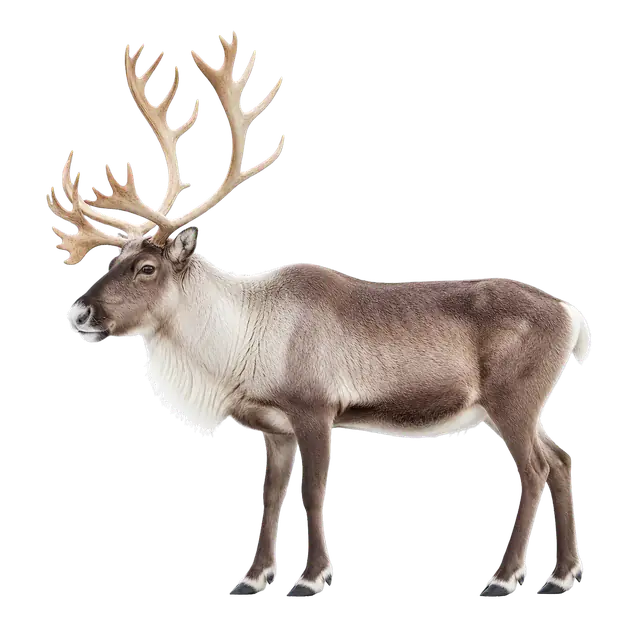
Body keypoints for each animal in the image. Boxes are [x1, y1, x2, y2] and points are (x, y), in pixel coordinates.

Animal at [48, 34, 591, 599]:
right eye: (116, 257)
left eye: (147, 267)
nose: (80, 311)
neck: (238, 349)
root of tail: (573, 317)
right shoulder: (275, 427)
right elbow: (268, 496)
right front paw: (253, 577)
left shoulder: (316, 408)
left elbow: (311, 493)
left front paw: (309, 578)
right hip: (528, 404)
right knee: (561, 459)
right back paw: (560, 576)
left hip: (513, 398)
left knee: (535, 469)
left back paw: (504, 579)